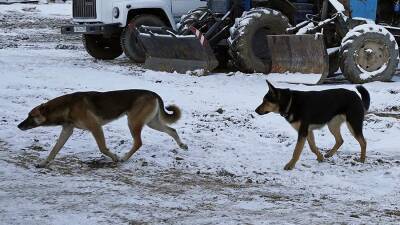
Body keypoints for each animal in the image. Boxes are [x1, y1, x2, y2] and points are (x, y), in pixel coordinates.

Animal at [17, 89, 188, 167]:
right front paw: (44, 162)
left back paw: (124, 158)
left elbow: (102, 148)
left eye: (31, 116)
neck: (67, 107)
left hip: (133, 122)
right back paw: (182, 145)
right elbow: (54, 149)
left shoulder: (95, 127)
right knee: (172, 130)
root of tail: (153, 93)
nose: (19, 126)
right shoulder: (67, 130)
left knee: (138, 142)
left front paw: (114, 157)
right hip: (152, 123)